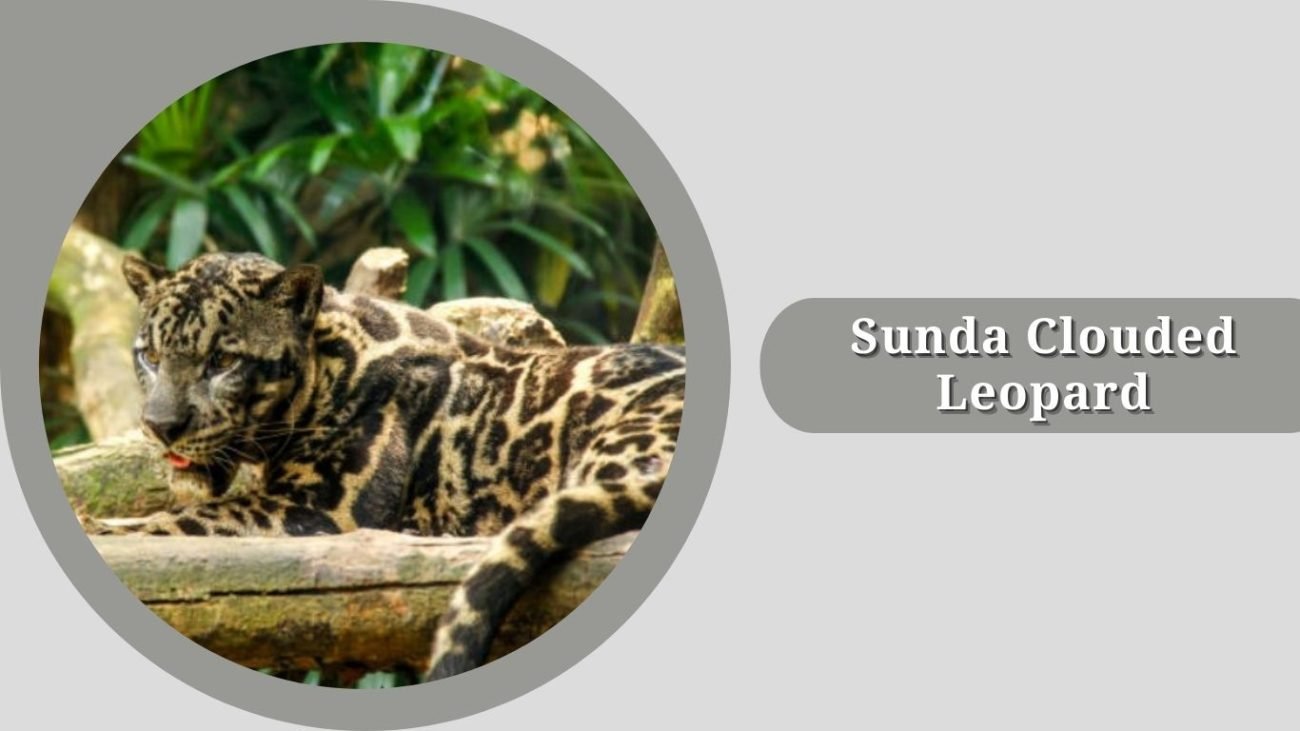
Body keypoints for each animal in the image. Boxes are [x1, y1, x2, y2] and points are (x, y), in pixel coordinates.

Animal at [85, 251, 684, 682]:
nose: (160, 426)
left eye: (224, 361)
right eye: (150, 356)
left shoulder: (324, 509)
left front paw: (110, 529)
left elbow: (188, 520)